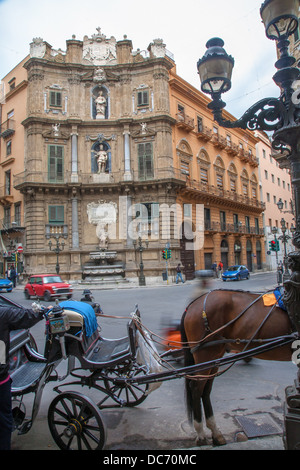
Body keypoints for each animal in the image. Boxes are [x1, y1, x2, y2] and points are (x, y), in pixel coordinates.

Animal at [180, 288, 296, 446]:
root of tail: (192, 304)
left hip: (214, 355)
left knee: (206, 389)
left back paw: (215, 432)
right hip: (205, 353)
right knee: (196, 388)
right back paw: (201, 434)